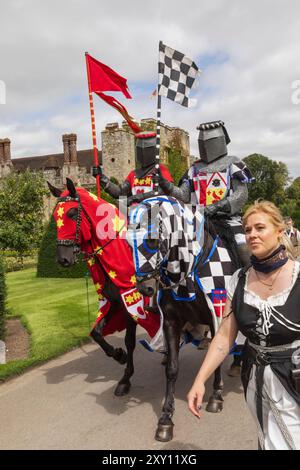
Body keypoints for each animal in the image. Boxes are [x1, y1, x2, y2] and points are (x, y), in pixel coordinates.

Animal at [47, 178, 157, 398]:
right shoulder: (114, 302)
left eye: (72, 213)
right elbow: (96, 333)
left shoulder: (132, 302)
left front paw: (125, 377)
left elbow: (130, 340)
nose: (63, 259)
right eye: (55, 215)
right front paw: (119, 356)